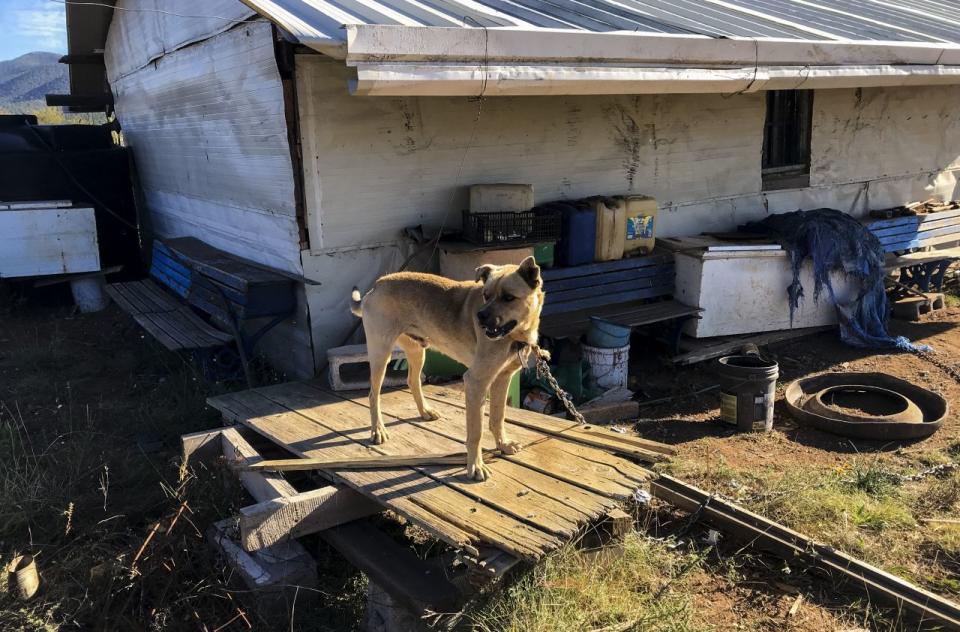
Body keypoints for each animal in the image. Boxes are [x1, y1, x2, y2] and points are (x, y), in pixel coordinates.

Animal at [350, 256, 548, 478]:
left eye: (508, 298)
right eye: (485, 295)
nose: (480, 317)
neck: (515, 335)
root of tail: (376, 286)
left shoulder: (502, 378)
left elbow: (498, 417)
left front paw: (503, 445)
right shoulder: (476, 382)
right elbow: (476, 432)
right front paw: (475, 466)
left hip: (417, 351)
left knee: (412, 381)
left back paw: (425, 411)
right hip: (381, 353)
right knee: (373, 395)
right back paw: (378, 430)